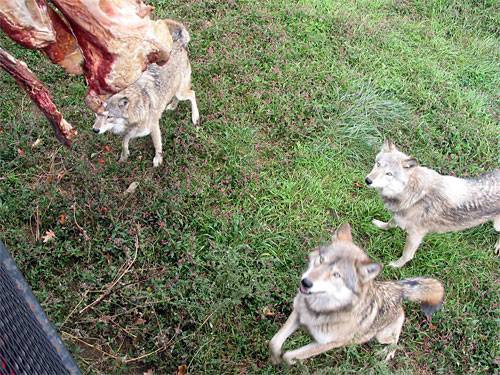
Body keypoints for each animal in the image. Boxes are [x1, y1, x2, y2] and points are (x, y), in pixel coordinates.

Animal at [93, 19, 198, 168]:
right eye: (97, 114)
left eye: (109, 116)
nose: (95, 130)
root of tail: (179, 44)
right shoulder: (129, 132)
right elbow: (124, 142)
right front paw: (124, 156)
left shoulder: (154, 127)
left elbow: (157, 145)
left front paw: (158, 160)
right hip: (175, 91)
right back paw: (172, 106)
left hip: (181, 92)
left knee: (192, 94)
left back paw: (195, 117)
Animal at [268, 223, 444, 368]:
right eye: (321, 260)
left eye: (336, 275)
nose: (306, 282)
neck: (319, 309)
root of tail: (396, 288)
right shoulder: (298, 315)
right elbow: (274, 342)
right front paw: (275, 358)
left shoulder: (326, 344)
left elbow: (291, 355)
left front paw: (287, 361)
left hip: (381, 336)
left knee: (395, 340)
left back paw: (387, 353)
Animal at [364, 140, 500, 268]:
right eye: (378, 164)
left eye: (389, 174)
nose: (368, 180)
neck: (412, 193)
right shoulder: (399, 216)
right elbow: (390, 224)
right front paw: (380, 225)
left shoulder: (415, 235)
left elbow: (407, 255)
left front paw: (395, 266)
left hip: (496, 225)